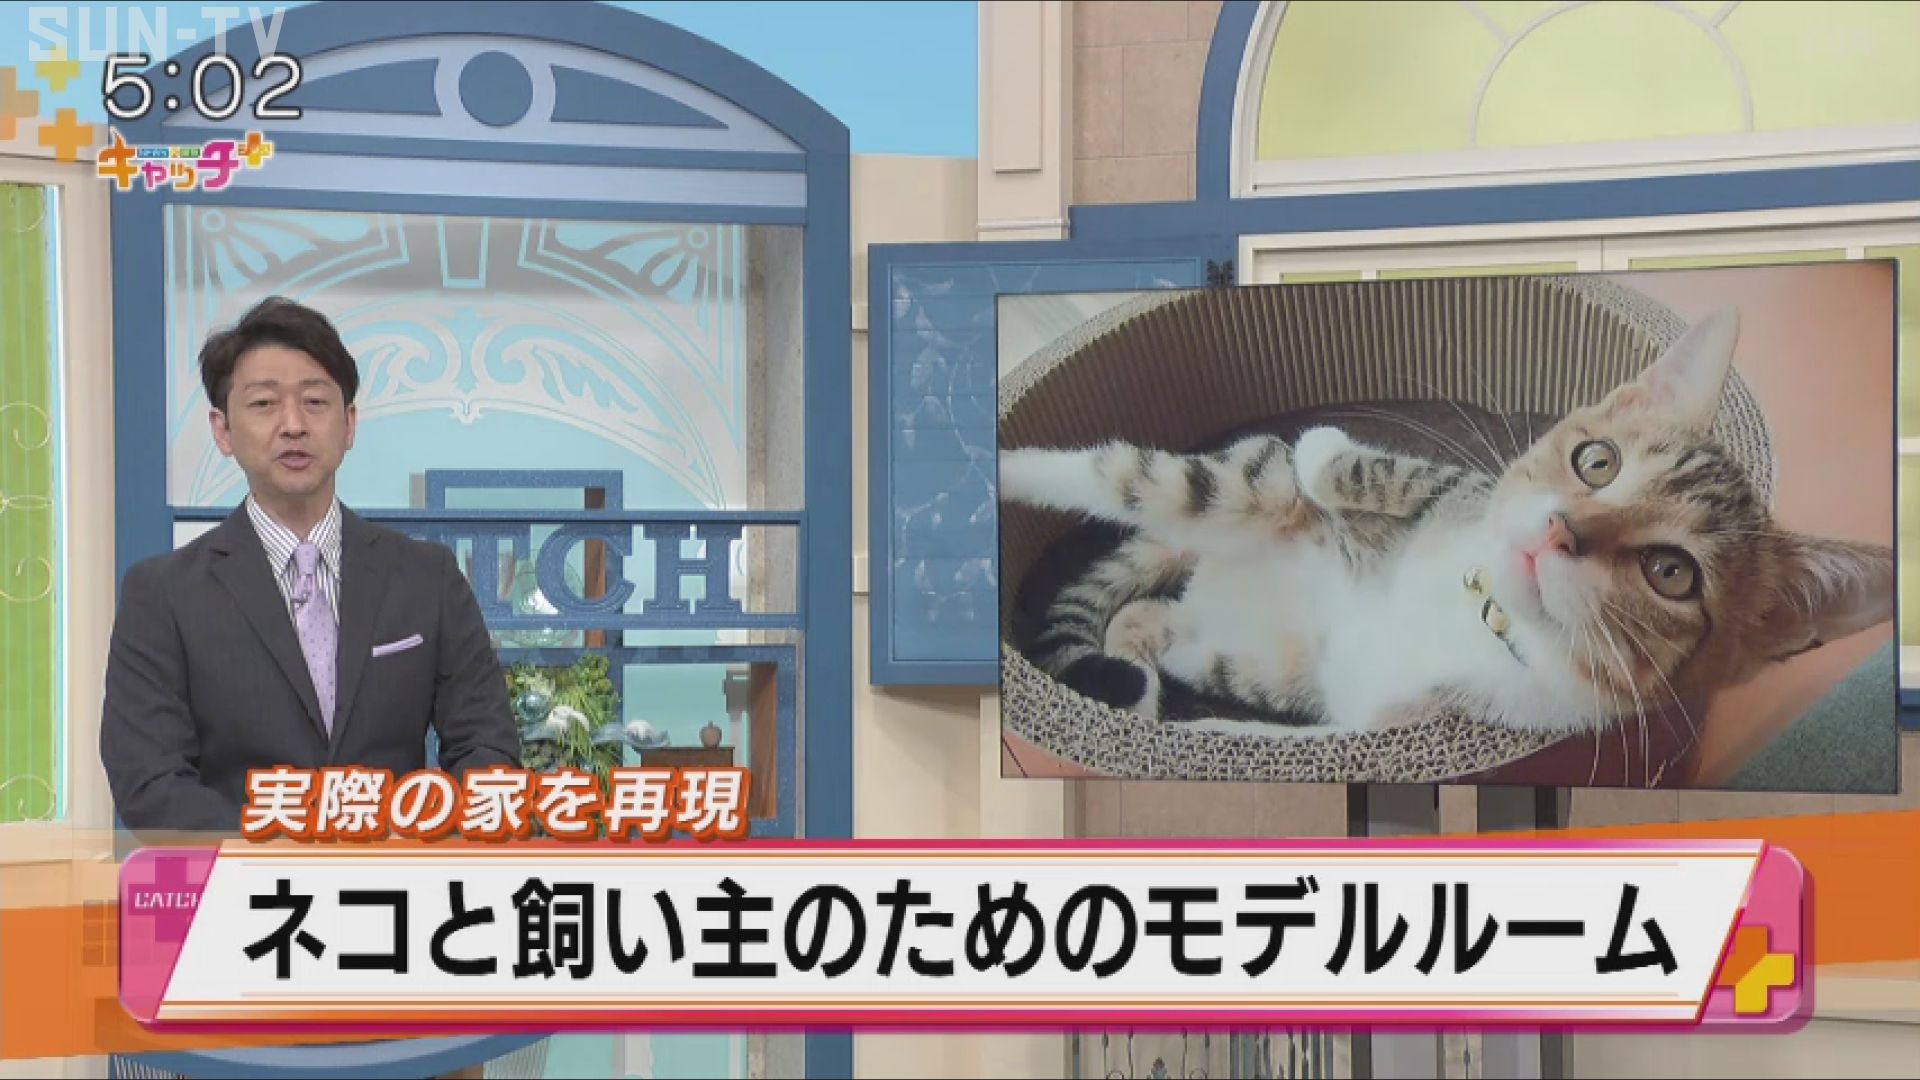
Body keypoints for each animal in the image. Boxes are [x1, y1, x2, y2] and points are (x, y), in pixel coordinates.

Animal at [997, 310, 1895, 738]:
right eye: (1596, 460)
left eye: (1671, 574)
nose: (1557, 530)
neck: (1487, 619)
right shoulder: (1452, 492)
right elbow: (1360, 468)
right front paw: (1327, 447)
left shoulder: (1396, 719)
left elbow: (1312, 742)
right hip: (1235, 490)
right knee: (1126, 475)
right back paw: (998, 463)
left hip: (1246, 653)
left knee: (1156, 606)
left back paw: (1143, 673)